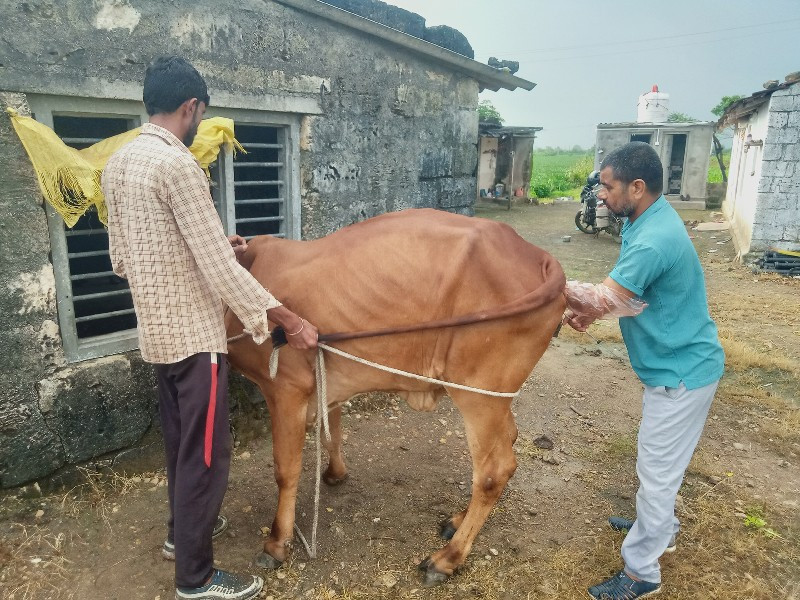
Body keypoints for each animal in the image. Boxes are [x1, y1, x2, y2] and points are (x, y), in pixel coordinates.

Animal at [223, 209, 564, 584]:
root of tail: (538, 256)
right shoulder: (326, 379)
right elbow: (332, 434)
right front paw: (335, 473)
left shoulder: (286, 388)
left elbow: (286, 470)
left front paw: (276, 544)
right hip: (495, 396)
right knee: (509, 440)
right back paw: (456, 520)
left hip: (478, 394)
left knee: (494, 470)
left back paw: (446, 558)